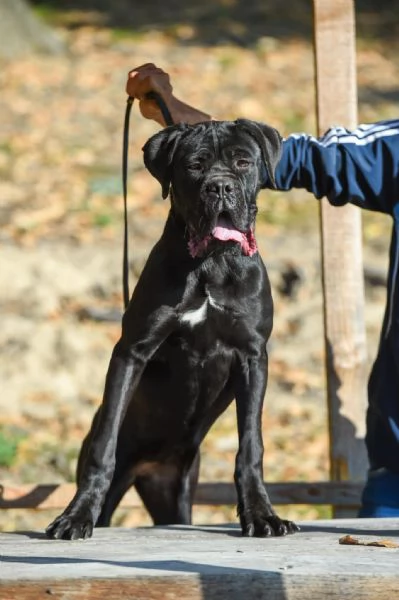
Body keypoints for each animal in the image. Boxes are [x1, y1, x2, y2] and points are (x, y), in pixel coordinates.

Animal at [47, 118, 300, 540]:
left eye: (243, 161)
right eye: (195, 165)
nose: (220, 187)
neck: (213, 264)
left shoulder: (252, 356)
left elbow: (251, 445)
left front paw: (262, 514)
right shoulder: (133, 350)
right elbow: (105, 441)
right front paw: (76, 515)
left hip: (175, 493)